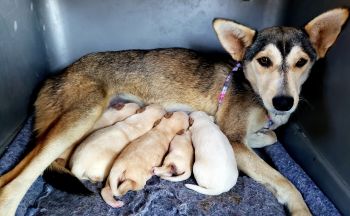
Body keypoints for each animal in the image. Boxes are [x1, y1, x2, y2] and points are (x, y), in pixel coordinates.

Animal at [0, 7, 348, 215]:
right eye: (264, 61)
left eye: (302, 62)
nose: (284, 102)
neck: (253, 89)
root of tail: (54, 76)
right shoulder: (233, 140)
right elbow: (286, 182)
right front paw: (300, 207)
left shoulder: (243, 134)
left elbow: (272, 137)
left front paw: (265, 134)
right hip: (83, 112)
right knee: (14, 181)